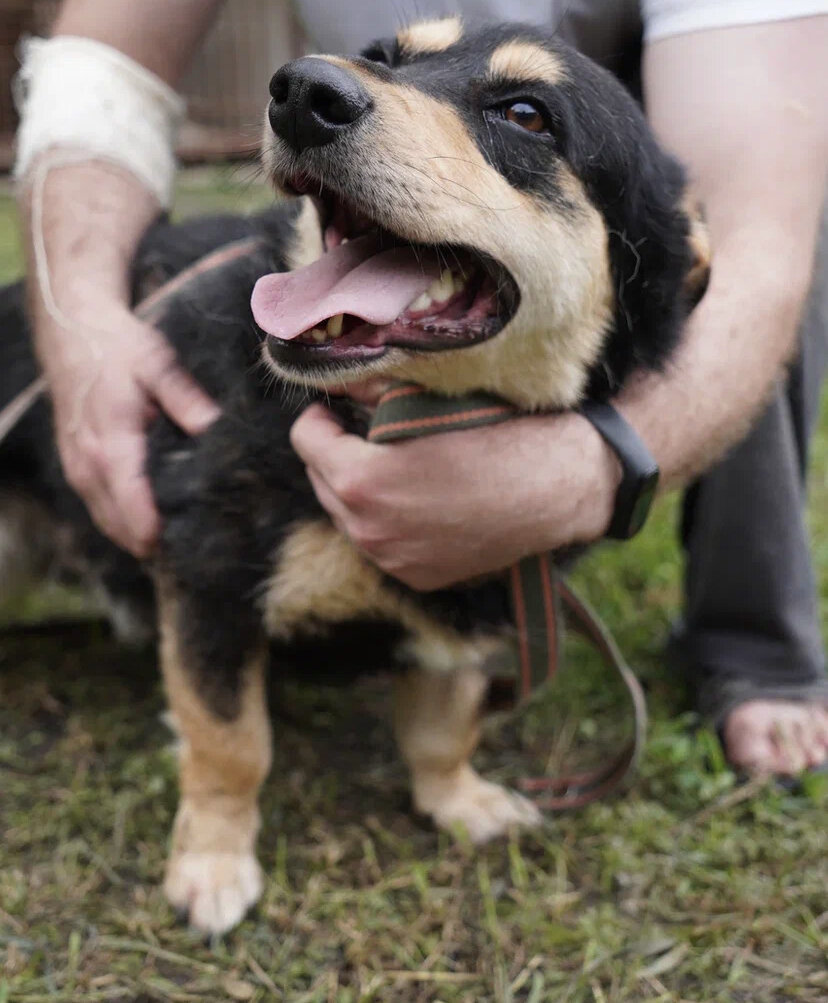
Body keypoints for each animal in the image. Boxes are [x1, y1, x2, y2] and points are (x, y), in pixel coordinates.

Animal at [1, 19, 709, 934]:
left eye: (528, 114)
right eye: (383, 56)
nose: (303, 92)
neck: (379, 417)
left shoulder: (479, 592)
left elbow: (445, 725)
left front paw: (459, 799)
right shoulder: (209, 574)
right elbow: (231, 743)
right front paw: (212, 861)